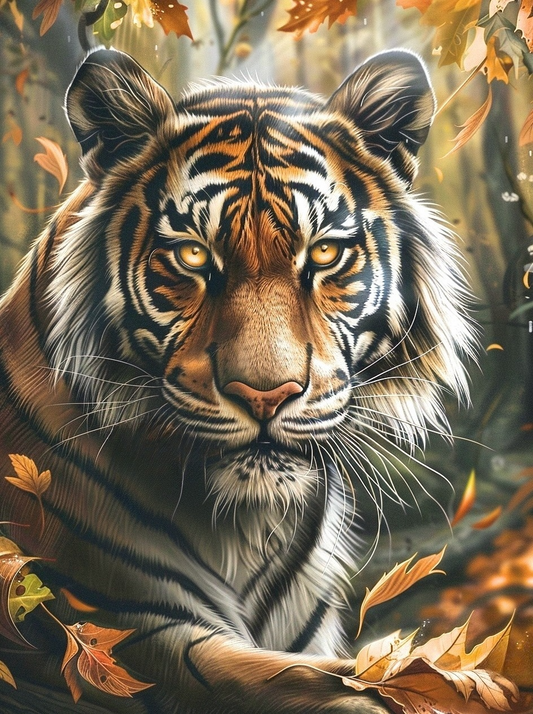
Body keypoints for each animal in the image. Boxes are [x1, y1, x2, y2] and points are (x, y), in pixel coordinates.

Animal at [0, 47, 476, 714]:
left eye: (323, 253)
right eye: (194, 256)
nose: (266, 395)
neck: (249, 528)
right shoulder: (126, 631)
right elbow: (302, 683)